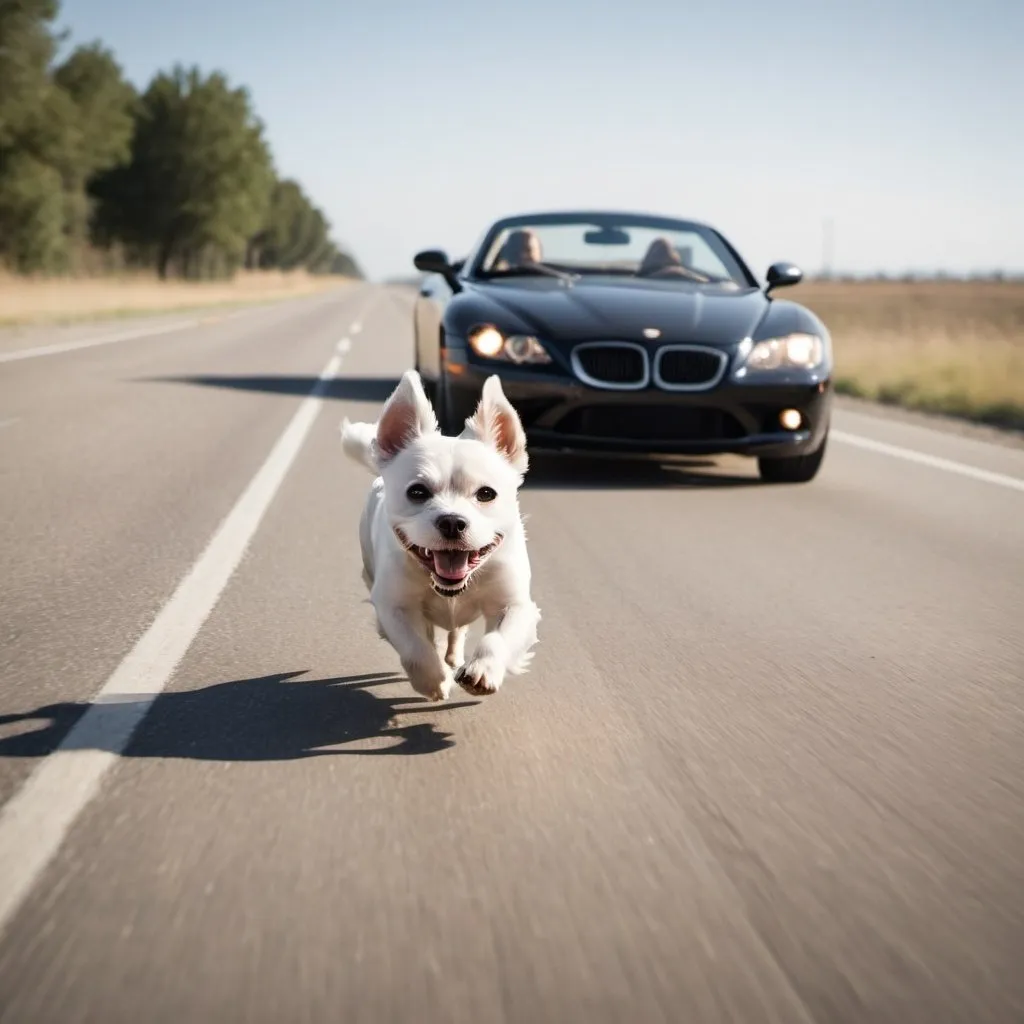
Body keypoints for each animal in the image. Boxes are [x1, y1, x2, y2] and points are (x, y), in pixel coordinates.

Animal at [339, 372, 540, 700]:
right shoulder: (394, 605)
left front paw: (482, 670)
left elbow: (496, 640)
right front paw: (435, 681)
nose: (452, 522)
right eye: (417, 492)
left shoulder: (516, 606)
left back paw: (456, 657)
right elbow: (415, 649)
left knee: (458, 631)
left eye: (486, 494)